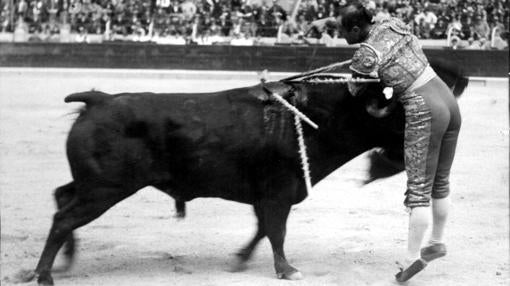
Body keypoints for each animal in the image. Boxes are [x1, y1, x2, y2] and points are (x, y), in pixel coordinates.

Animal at [26, 61, 466, 284]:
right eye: (403, 111)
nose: (447, 130)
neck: (317, 117)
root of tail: (98, 99)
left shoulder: (268, 195)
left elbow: (262, 229)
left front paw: (241, 260)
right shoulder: (279, 192)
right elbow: (276, 230)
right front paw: (287, 270)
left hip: (93, 185)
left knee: (61, 198)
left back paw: (63, 263)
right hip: (105, 189)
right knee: (63, 216)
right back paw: (44, 274)